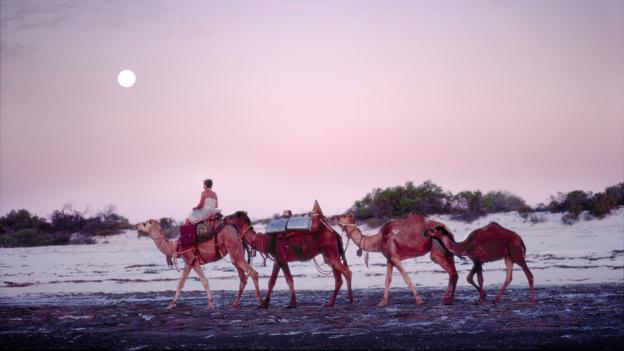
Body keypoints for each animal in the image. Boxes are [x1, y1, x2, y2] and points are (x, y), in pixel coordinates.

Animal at [223, 202, 352, 310]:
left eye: (232, 217)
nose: (223, 219)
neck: (264, 241)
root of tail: (335, 233)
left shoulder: (281, 257)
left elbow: (289, 279)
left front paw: (292, 303)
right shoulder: (277, 259)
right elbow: (271, 281)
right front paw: (264, 304)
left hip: (331, 251)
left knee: (347, 272)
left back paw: (350, 299)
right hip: (328, 255)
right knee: (338, 278)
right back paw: (331, 303)